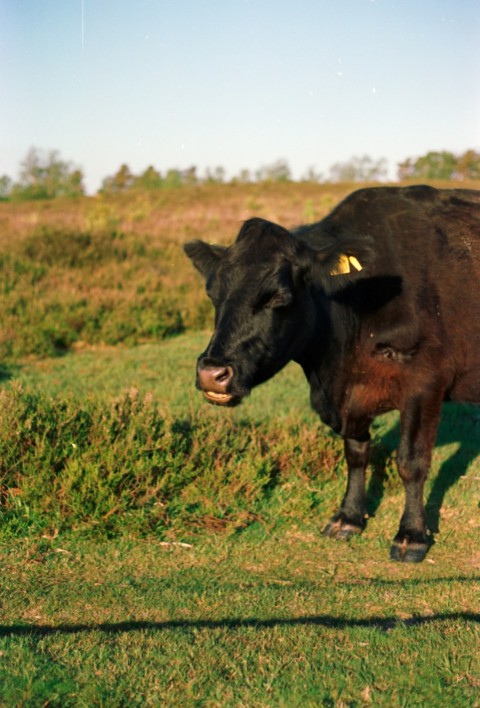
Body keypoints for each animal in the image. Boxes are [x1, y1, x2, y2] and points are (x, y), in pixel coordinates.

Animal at [184, 185, 480, 562]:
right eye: (213, 294)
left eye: (277, 297)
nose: (212, 372)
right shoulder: (352, 396)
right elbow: (356, 453)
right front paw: (348, 517)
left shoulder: (424, 383)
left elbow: (411, 461)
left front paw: (411, 535)